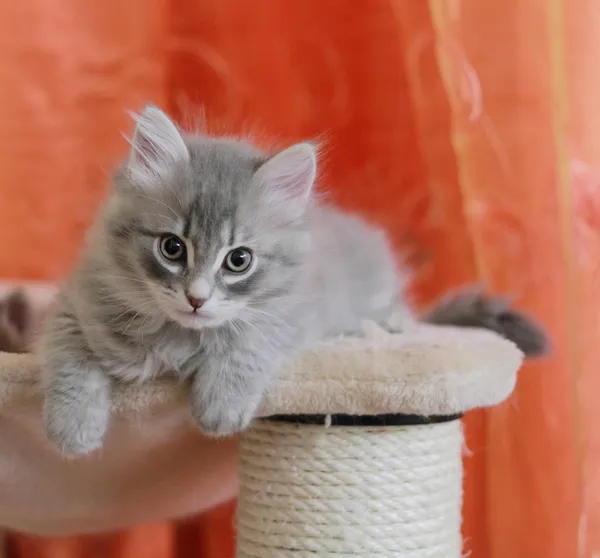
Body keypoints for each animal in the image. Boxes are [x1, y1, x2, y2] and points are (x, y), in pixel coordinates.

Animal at [41, 106, 548, 460]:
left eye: (238, 260)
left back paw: (390, 325)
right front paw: (73, 429)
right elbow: (71, 364)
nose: (196, 298)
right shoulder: (74, 305)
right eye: (172, 248)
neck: (178, 337)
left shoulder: (290, 315)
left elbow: (244, 345)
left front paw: (220, 407)